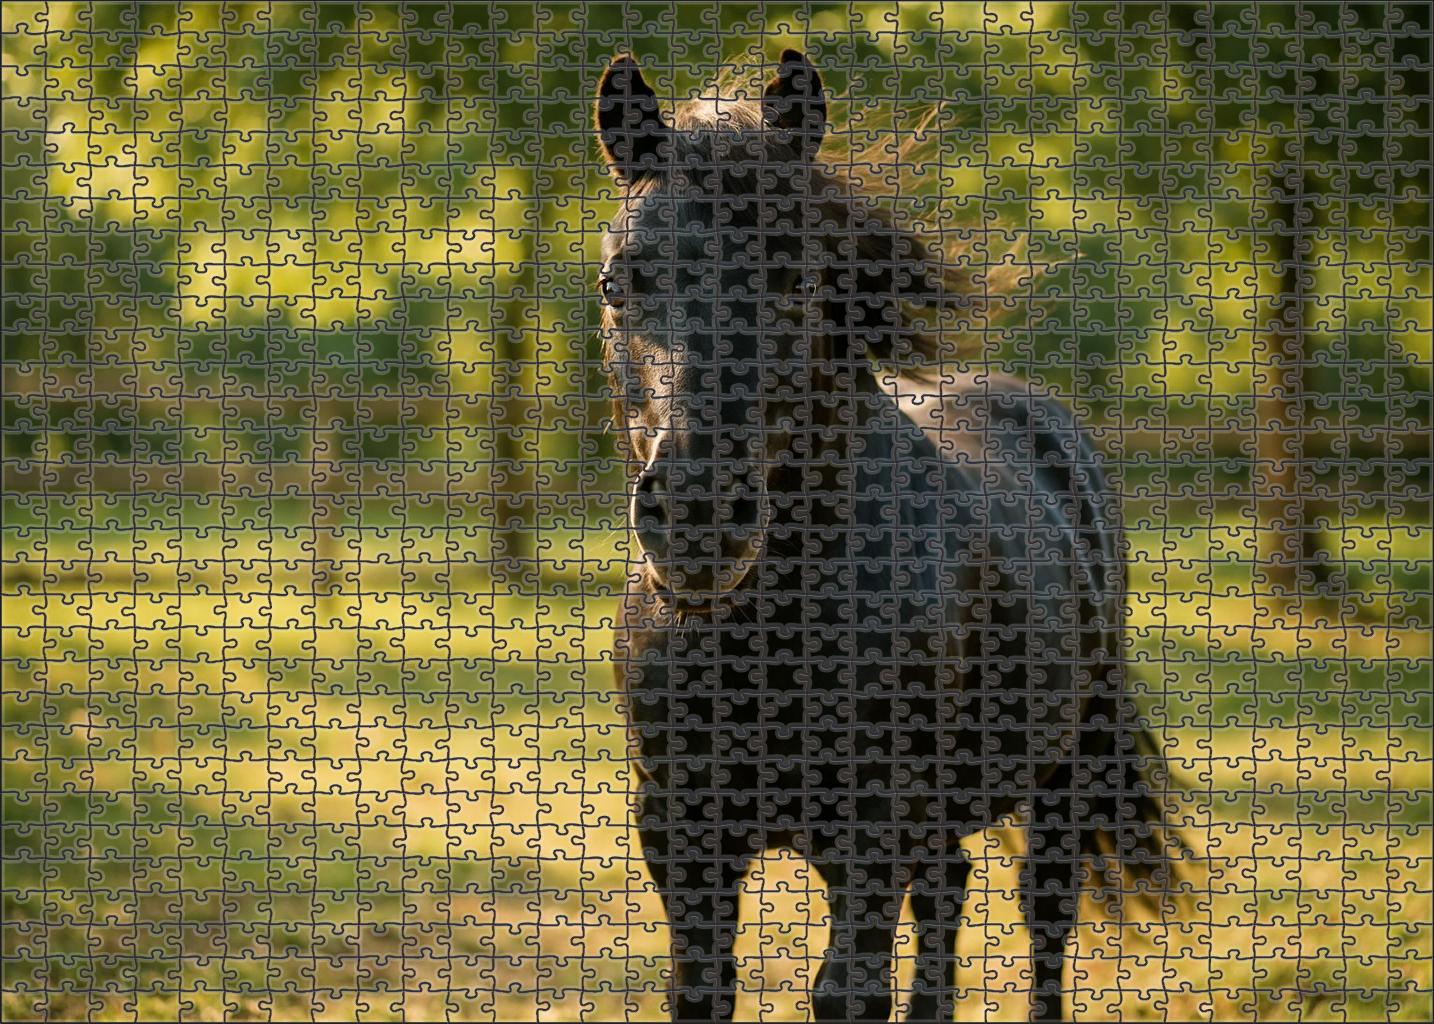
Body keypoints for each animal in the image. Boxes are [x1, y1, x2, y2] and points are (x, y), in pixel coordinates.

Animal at [597, 50, 1177, 1023]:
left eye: (800, 281)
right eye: (617, 282)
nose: (697, 519)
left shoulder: (869, 839)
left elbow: (850, 992)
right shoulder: (683, 837)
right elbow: (701, 991)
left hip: (1066, 769)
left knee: (1045, 916)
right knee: (948, 895)